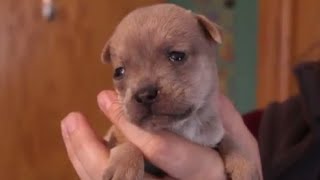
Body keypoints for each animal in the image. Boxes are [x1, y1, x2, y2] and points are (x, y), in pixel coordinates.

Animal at [102, 3, 260, 180]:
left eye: (177, 56)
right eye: (118, 72)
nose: (144, 94)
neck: (183, 126)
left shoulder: (212, 134)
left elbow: (228, 138)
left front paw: (244, 163)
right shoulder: (115, 134)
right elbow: (127, 140)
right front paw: (125, 162)